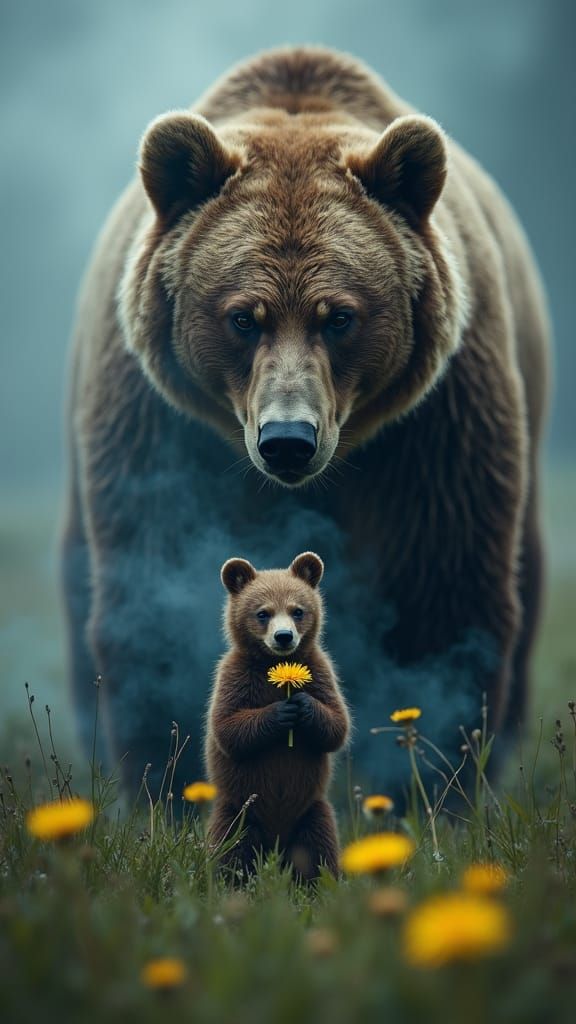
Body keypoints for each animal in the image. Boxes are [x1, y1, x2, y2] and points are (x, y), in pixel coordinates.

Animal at [62, 46, 550, 797]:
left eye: (338, 315)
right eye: (243, 316)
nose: (287, 441)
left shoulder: (430, 432)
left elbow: (437, 593)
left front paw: (424, 782)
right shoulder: (165, 434)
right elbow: (157, 586)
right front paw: (176, 781)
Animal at [205, 551, 350, 880]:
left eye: (297, 610)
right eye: (263, 613)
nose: (284, 637)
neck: (274, 665)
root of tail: (276, 845)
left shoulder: (320, 671)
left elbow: (337, 723)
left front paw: (303, 704)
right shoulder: (235, 677)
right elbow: (227, 727)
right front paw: (282, 711)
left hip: (312, 810)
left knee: (319, 847)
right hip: (239, 812)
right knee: (231, 847)